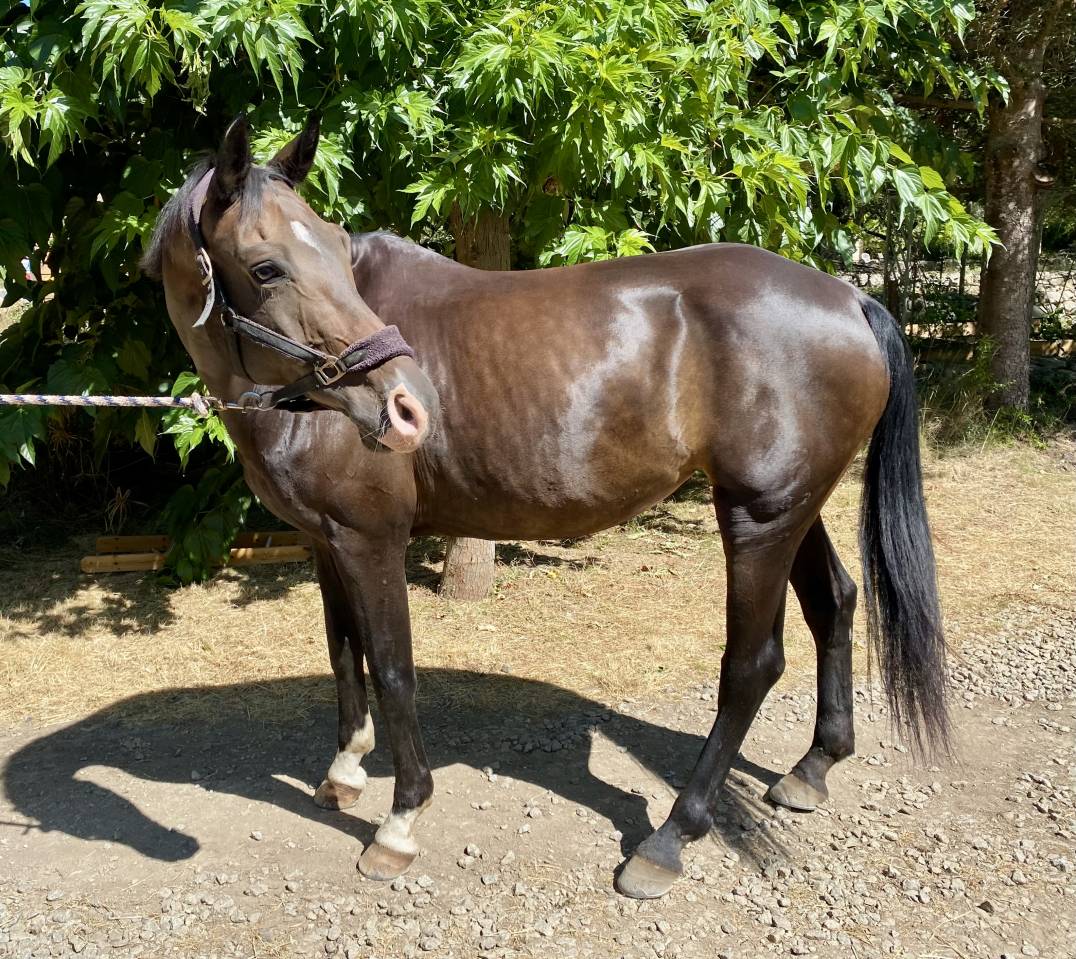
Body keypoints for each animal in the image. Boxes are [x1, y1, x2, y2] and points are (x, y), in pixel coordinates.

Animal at [143, 114, 948, 899]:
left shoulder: (370, 541)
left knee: (752, 665)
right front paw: (343, 774)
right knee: (834, 603)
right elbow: (345, 656)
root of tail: (850, 297)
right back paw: (813, 767)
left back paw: (668, 839)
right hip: (788, 506)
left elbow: (393, 668)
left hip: (759, 518)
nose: (406, 407)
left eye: (338, 253)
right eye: (266, 266)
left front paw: (400, 822)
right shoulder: (326, 541)